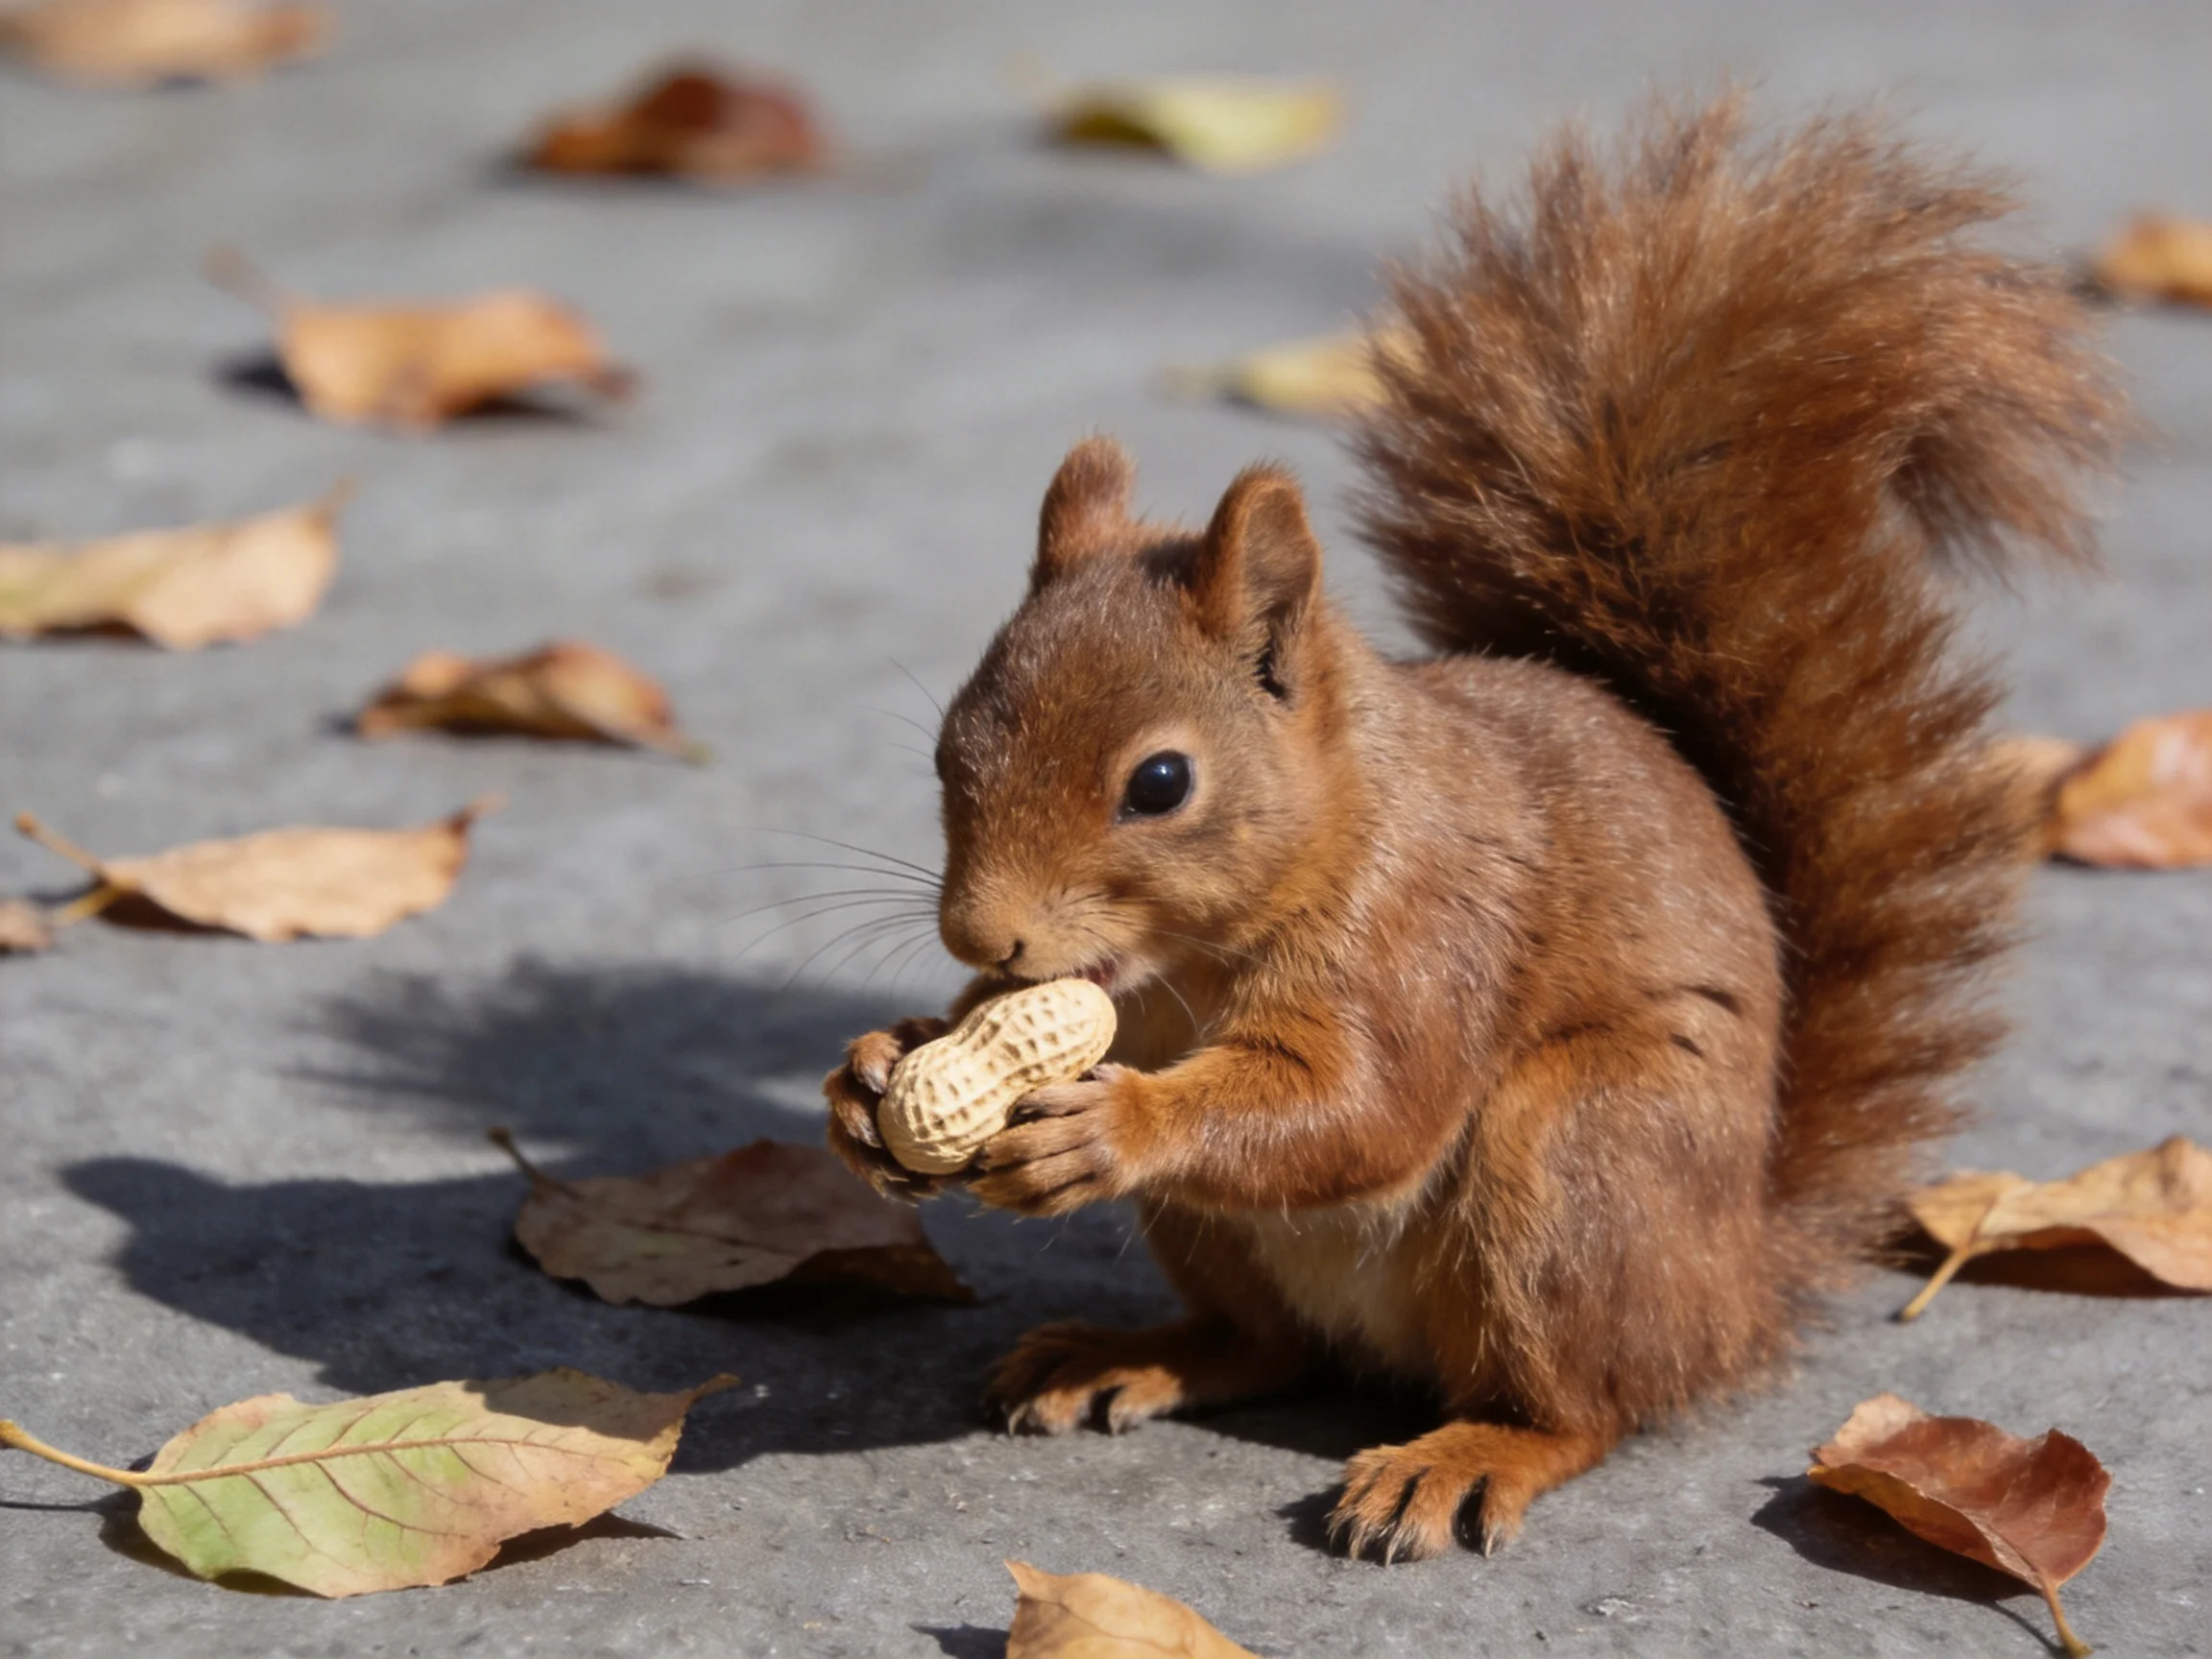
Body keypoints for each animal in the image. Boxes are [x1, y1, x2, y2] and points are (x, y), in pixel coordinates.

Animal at [823, 93, 2120, 1559]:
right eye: (952, 740)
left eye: (1158, 783)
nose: (978, 934)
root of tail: (1736, 1284)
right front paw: (877, 1072)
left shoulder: (1429, 925)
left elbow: (1365, 1104)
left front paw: (1118, 1127)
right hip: (1233, 1244)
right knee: (1270, 1348)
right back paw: (1134, 1354)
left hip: (1580, 1155)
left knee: (1586, 1405)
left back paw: (1467, 1457)